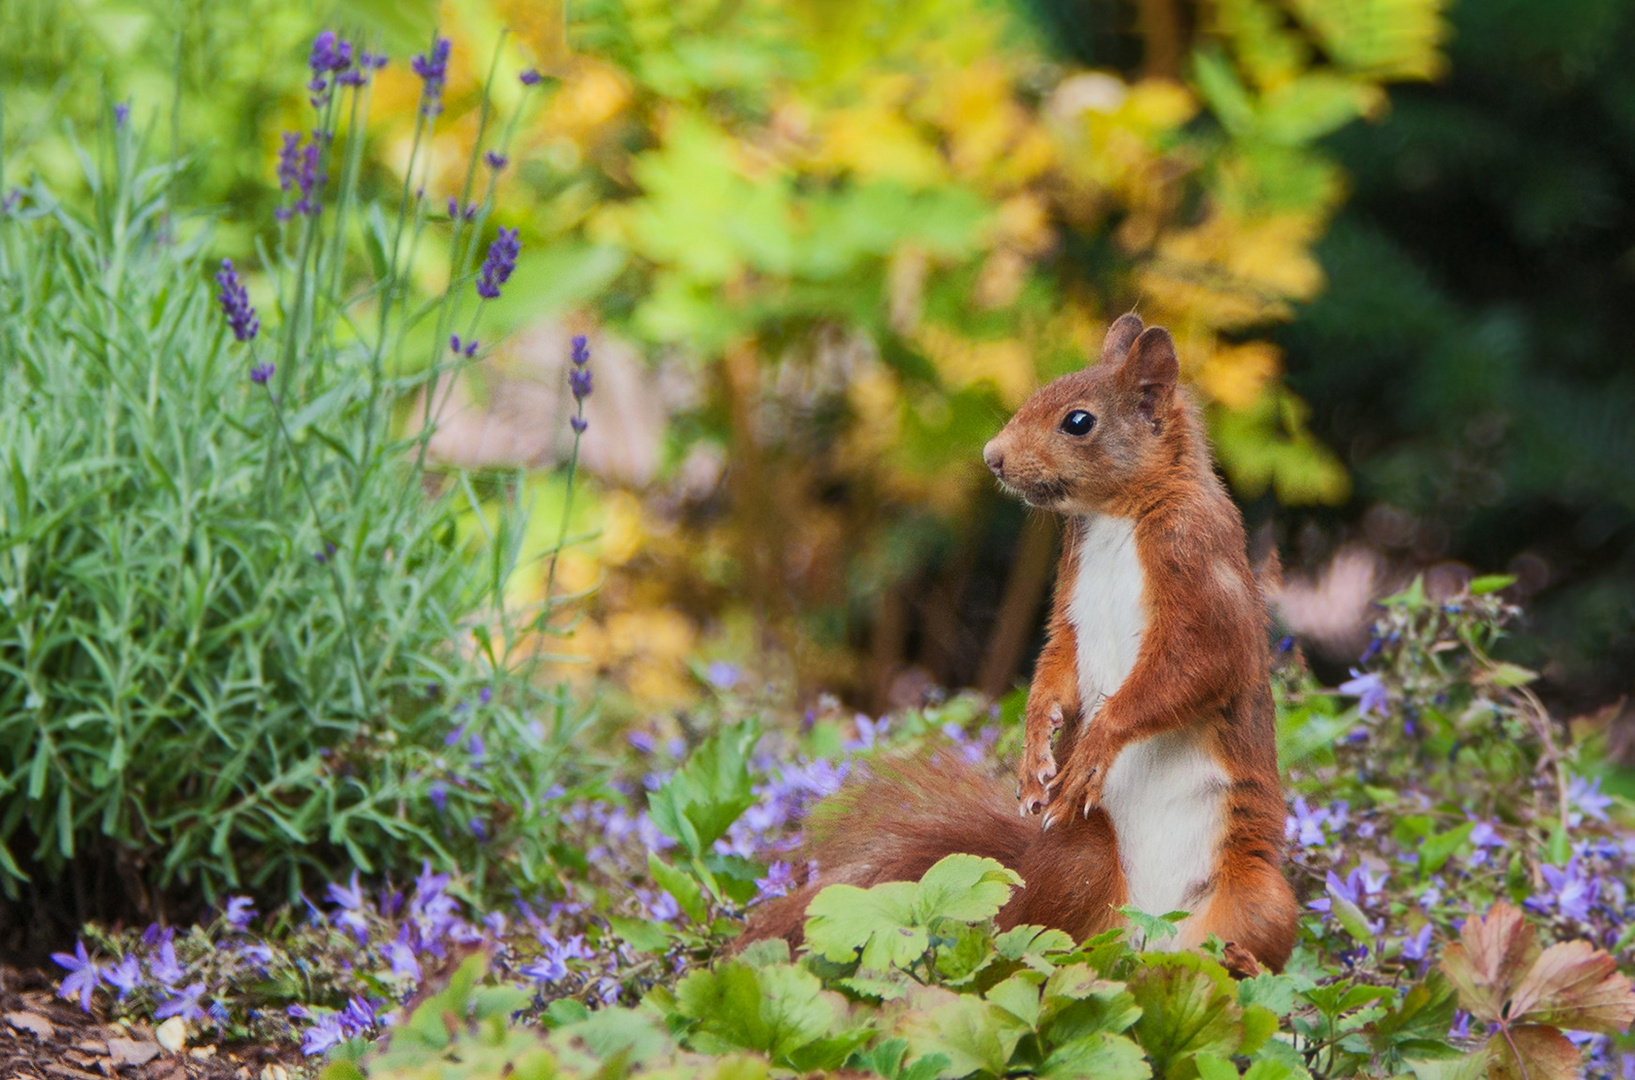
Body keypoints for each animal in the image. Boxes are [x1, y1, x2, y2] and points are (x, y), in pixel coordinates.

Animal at [748, 315, 1294, 973]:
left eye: (1079, 421)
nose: (993, 458)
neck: (1116, 516)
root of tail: (1152, 939)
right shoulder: (1070, 598)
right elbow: (1057, 662)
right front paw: (1036, 749)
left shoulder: (1199, 567)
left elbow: (1195, 668)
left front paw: (1093, 746)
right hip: (1080, 861)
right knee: (1057, 946)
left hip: (1258, 896)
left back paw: (1242, 962)